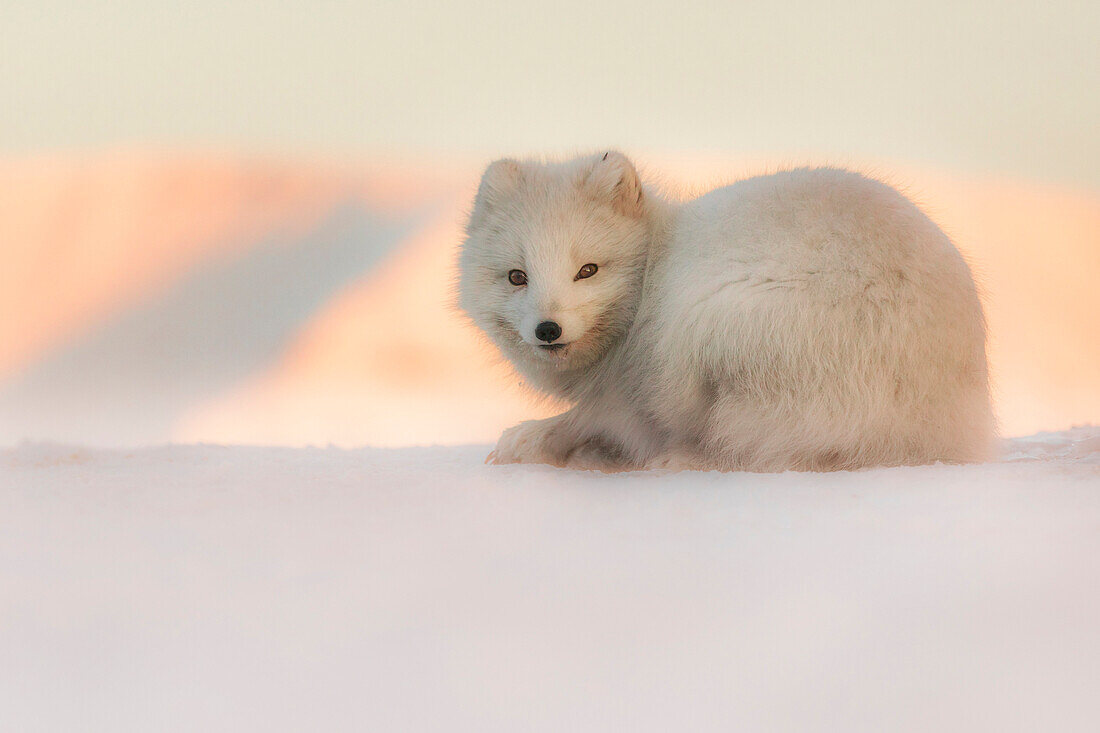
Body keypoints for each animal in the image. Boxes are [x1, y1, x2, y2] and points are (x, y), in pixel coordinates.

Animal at [457, 150, 998, 471]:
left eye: (587, 270)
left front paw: (532, 440)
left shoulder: (631, 386)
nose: (547, 329)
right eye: (517, 277)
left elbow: (590, 415)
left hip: (708, 323)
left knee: (748, 451)